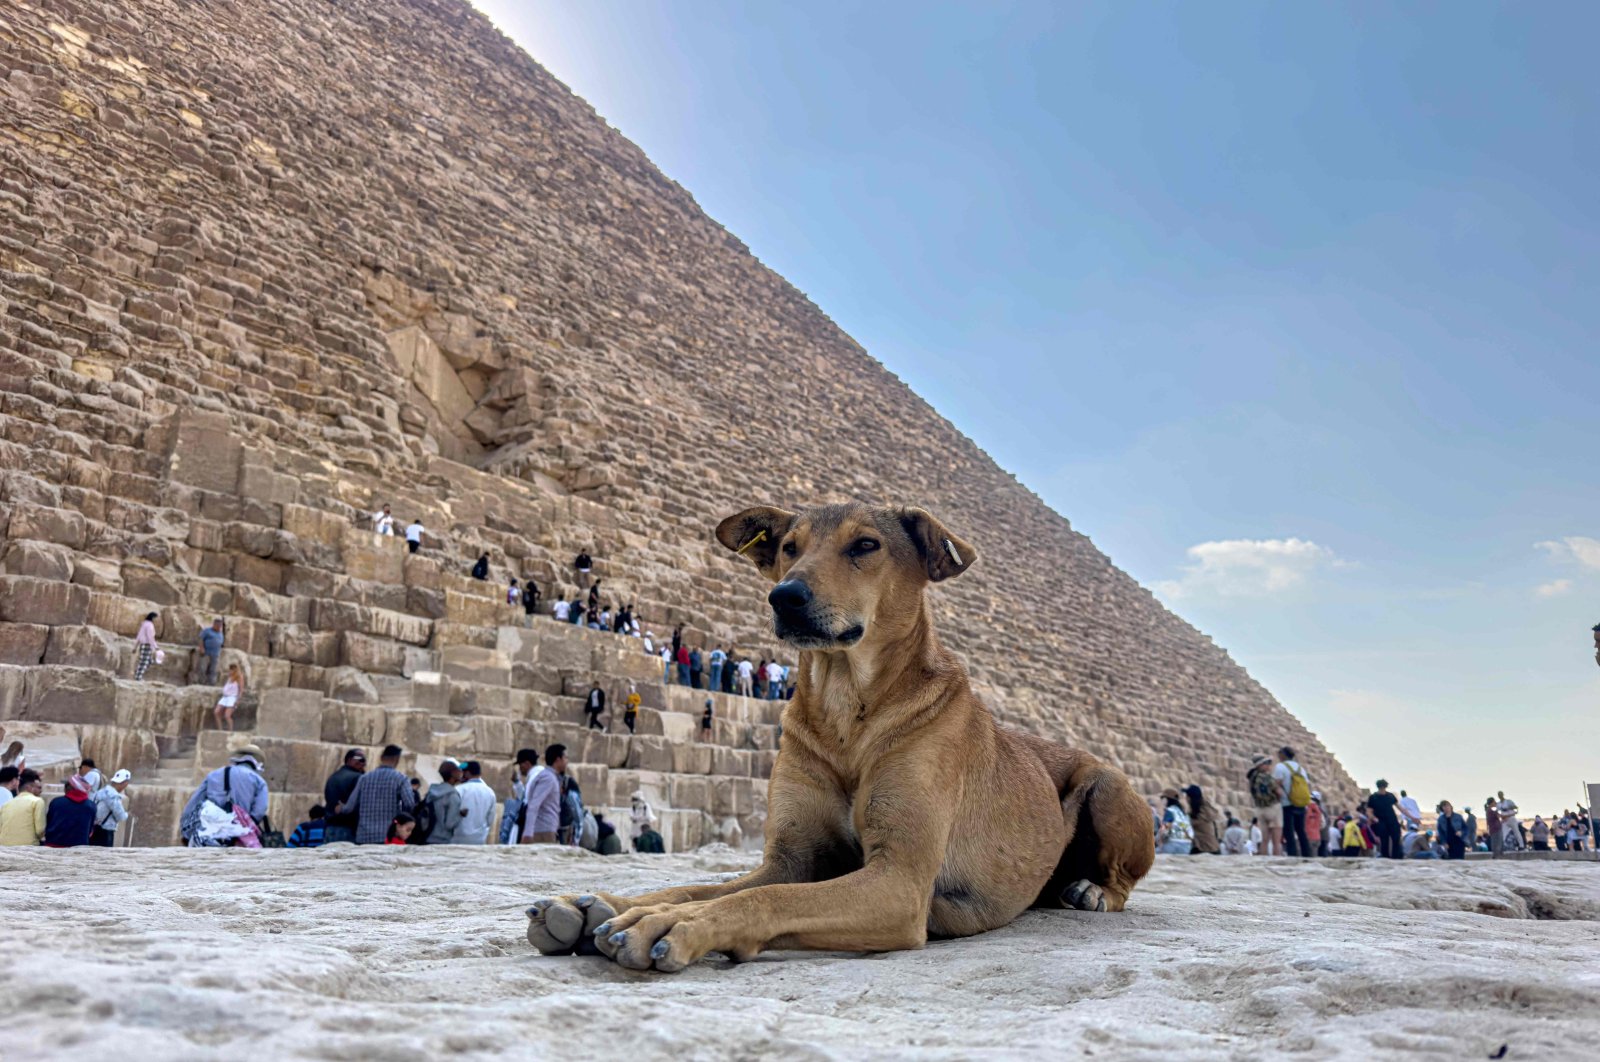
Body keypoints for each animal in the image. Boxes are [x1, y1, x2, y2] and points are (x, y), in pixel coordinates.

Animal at [531, 505, 1158, 972]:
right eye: (789, 546)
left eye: (865, 545)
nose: (784, 596)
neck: (846, 711)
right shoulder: (790, 860)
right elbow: (708, 887)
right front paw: (608, 907)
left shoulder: (898, 883)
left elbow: (761, 898)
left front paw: (672, 926)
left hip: (1109, 785)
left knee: (1121, 876)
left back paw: (1090, 891)